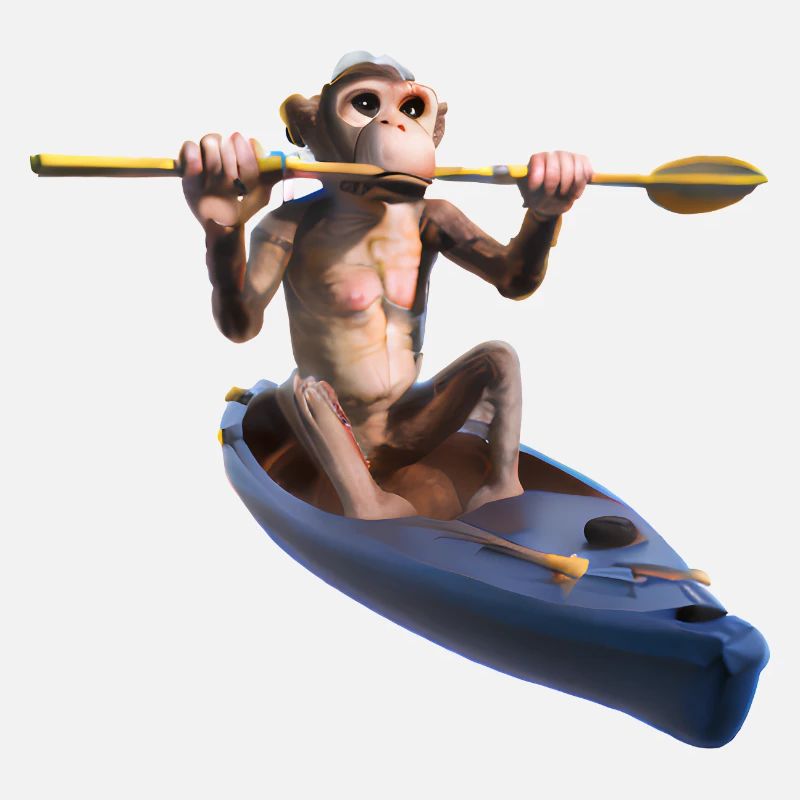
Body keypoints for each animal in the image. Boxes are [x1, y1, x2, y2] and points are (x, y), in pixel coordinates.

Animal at [179, 52, 593, 520]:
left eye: (412, 108)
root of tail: (376, 458)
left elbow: (510, 278)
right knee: (306, 391)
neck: (368, 205)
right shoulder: (278, 225)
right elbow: (244, 324)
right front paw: (218, 202)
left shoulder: (443, 214)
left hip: (407, 432)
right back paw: (379, 510)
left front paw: (551, 186)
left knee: (498, 359)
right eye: (365, 104)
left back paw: (501, 494)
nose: (399, 125)